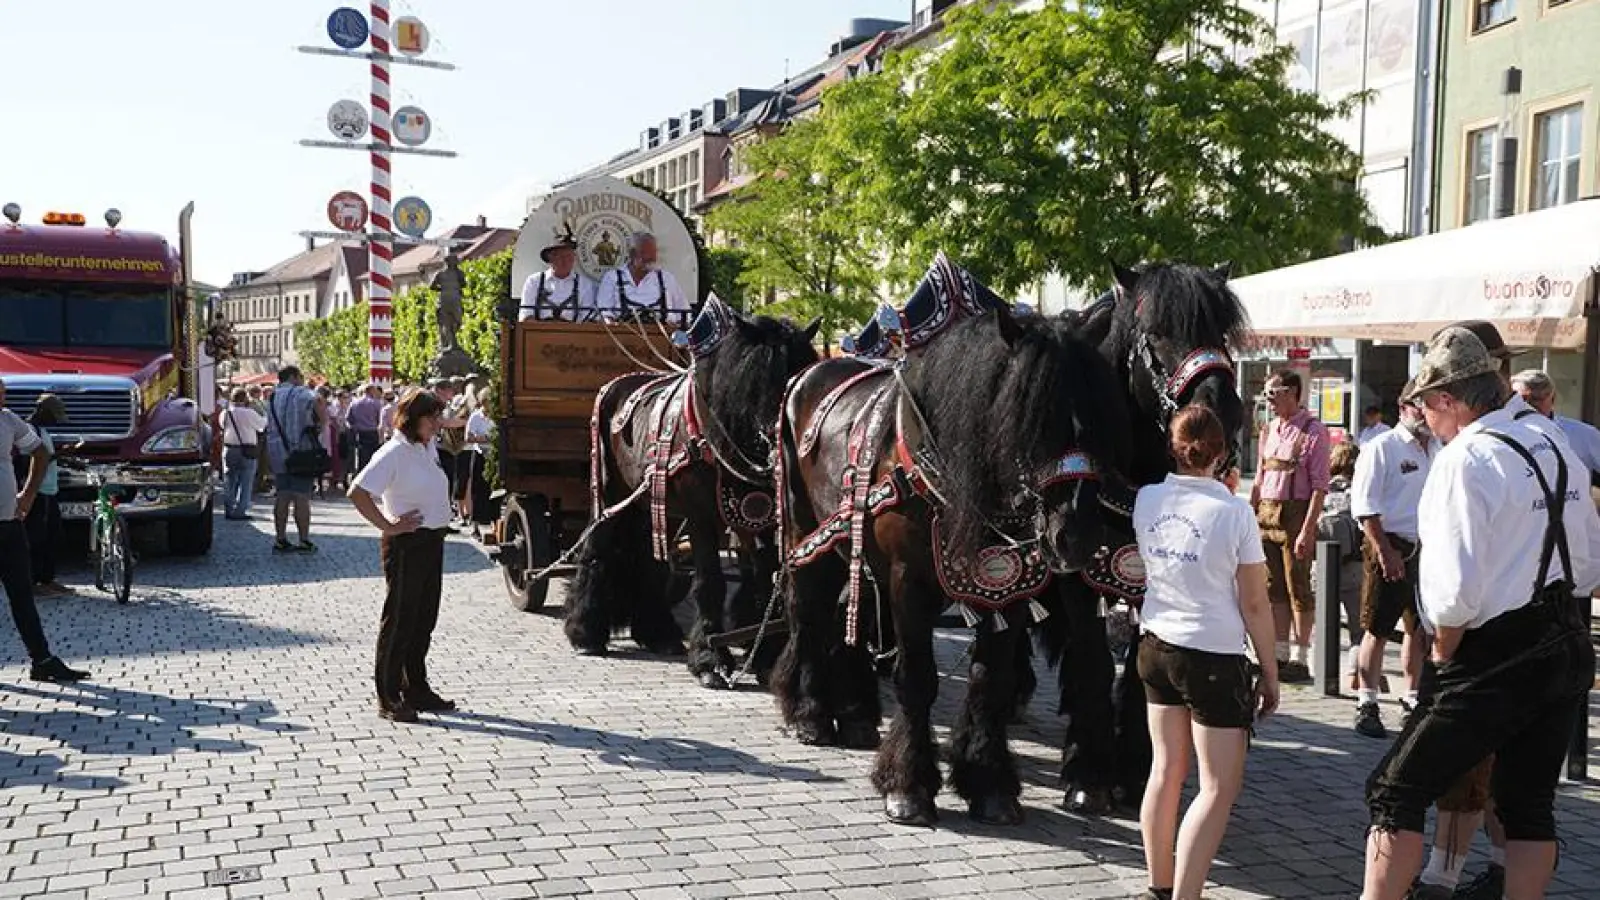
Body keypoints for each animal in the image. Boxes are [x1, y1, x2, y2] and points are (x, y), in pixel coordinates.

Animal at [563, 297, 819, 682]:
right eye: (757, 376)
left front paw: (765, 656)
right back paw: (585, 632)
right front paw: (709, 658)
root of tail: (614, 387)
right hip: (610, 493)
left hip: (655, 504)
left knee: (653, 562)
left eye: (801, 375)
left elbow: (764, 578)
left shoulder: (759, 516)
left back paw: (658, 632)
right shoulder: (702, 515)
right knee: (597, 550)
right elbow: (709, 581)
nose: (783, 442)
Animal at [771, 285, 1126, 819]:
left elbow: (990, 679)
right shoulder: (908, 581)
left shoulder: (1008, 585)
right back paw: (809, 713)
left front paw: (989, 783)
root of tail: (808, 374)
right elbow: (916, 677)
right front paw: (908, 786)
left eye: (1102, 417)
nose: (1078, 535)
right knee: (808, 610)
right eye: (1026, 417)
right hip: (805, 532)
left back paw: (853, 717)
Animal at [1043, 259, 1254, 813]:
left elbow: (1143, 661)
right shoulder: (1074, 566)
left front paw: (1136, 768)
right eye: (1157, 332)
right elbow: (1093, 655)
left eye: (1221, 331)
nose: (1219, 408)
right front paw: (1088, 773)